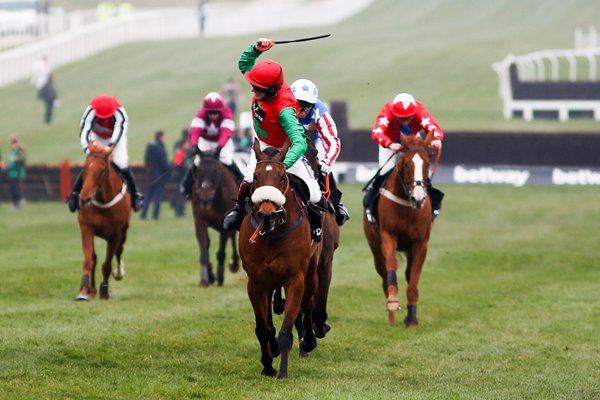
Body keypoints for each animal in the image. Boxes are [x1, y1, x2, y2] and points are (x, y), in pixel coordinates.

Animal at [75, 141, 131, 300]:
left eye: (102, 170)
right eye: (85, 168)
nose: (84, 198)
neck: (103, 201)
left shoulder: (115, 234)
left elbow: (107, 265)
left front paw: (104, 291)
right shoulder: (86, 228)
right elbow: (89, 260)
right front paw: (83, 291)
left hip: (123, 232)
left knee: (119, 251)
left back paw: (118, 273)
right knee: (94, 258)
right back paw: (92, 289)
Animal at [191, 152, 240, 286]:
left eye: (217, 170)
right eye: (198, 170)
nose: (205, 196)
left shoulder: (224, 223)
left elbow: (221, 252)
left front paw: (220, 276)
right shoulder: (200, 221)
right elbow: (204, 248)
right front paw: (205, 278)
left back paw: (234, 263)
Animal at [239, 138, 324, 378]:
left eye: (282, 177)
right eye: (255, 176)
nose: (267, 215)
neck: (273, 233)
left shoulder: (295, 279)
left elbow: (287, 329)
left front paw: (282, 372)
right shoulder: (255, 282)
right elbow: (262, 328)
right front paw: (268, 364)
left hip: (311, 270)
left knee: (309, 302)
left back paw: (309, 341)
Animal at [364, 130, 434, 324]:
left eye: (427, 163)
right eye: (405, 163)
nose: (418, 198)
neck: (407, 205)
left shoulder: (420, 243)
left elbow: (413, 280)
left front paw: (411, 319)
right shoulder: (388, 234)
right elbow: (391, 265)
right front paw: (393, 301)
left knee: (409, 274)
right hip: (374, 246)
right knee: (384, 275)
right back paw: (391, 316)